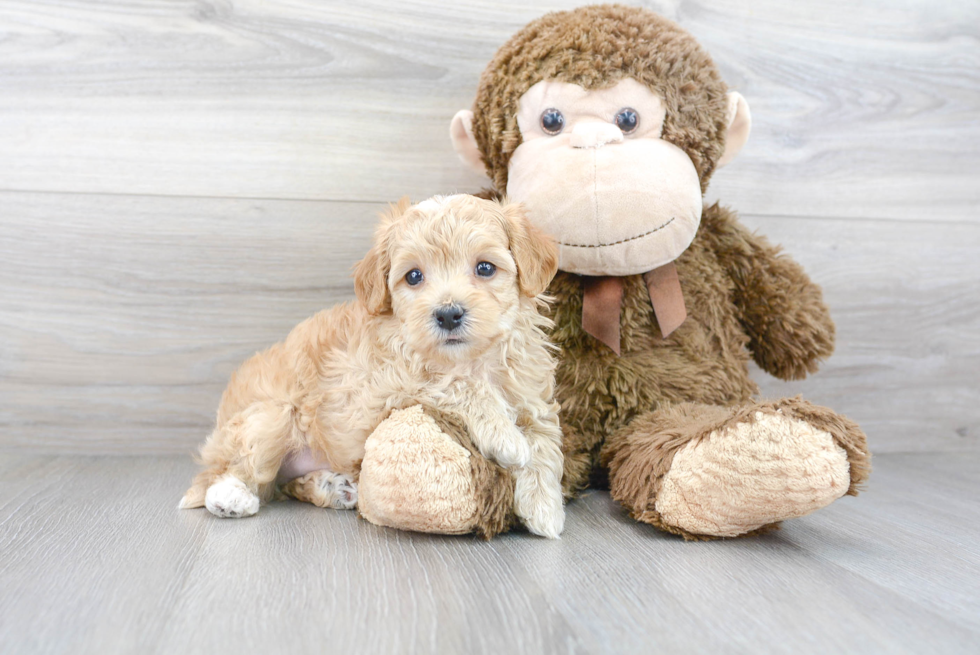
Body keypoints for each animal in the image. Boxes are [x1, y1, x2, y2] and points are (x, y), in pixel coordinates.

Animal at [182, 195, 568, 540]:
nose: (448, 314)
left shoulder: (532, 393)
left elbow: (545, 441)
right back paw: (231, 496)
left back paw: (334, 487)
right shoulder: (385, 382)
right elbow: (456, 383)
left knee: (282, 485)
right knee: (230, 472)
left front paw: (544, 507)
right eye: (413, 276)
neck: (471, 358)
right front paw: (506, 437)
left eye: (485, 267)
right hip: (268, 417)